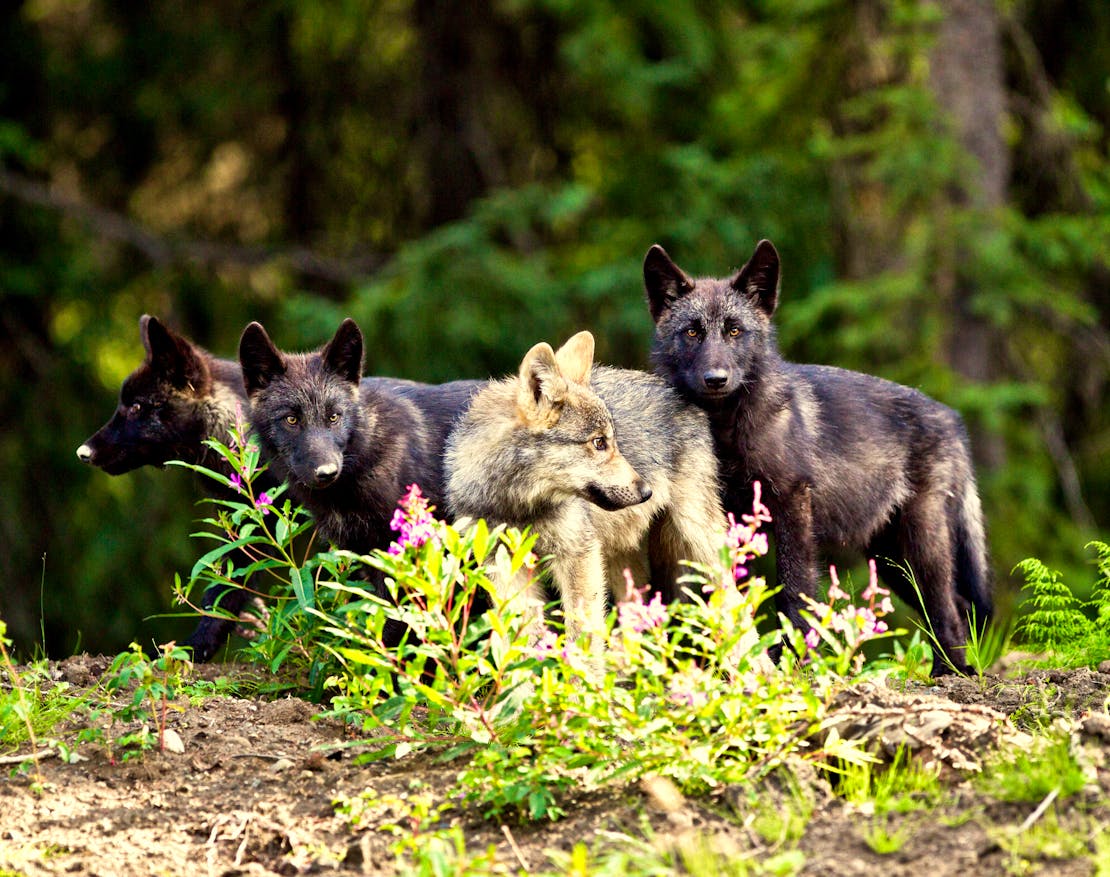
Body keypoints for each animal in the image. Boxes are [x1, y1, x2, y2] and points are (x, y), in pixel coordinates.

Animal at [446, 328, 723, 643]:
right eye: (599, 442)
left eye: (612, 441)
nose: (646, 492)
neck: (518, 505)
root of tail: (680, 393)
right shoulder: (505, 566)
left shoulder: (579, 555)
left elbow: (582, 637)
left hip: (697, 538)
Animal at [648, 238, 994, 674]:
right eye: (692, 331)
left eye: (734, 330)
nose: (716, 379)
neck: (726, 432)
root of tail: (952, 417)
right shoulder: (726, 519)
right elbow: (728, 594)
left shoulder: (792, 506)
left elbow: (794, 589)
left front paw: (793, 660)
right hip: (890, 559)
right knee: (957, 605)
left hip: (920, 542)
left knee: (947, 605)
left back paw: (952, 673)